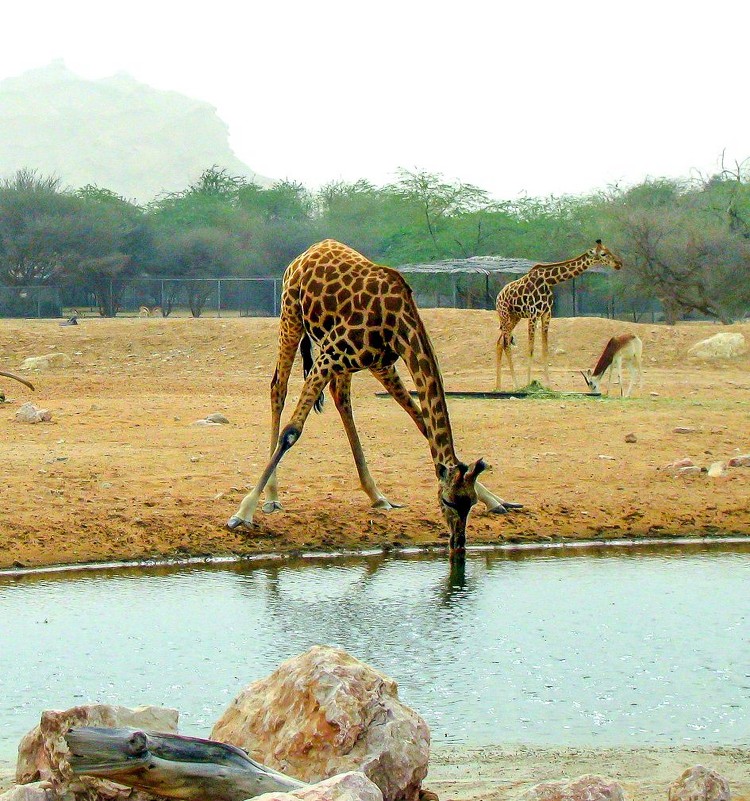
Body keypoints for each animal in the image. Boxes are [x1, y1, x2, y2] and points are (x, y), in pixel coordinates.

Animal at [229, 238, 524, 556]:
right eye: (446, 501)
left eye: (468, 503)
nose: (458, 543)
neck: (399, 322)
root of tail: (310, 251)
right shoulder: (331, 355)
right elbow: (292, 431)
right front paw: (242, 512)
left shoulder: (379, 363)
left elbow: (423, 423)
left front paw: (496, 500)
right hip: (292, 316)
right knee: (278, 389)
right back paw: (272, 497)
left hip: (346, 361)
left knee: (341, 397)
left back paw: (376, 495)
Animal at [496, 238, 624, 390]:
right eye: (603, 254)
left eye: (609, 250)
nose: (619, 264)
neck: (549, 280)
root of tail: (499, 296)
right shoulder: (533, 314)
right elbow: (531, 349)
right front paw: (529, 384)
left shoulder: (546, 314)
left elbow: (545, 350)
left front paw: (548, 386)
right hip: (505, 315)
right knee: (506, 344)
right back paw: (515, 385)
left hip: (515, 317)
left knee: (499, 342)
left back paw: (498, 386)